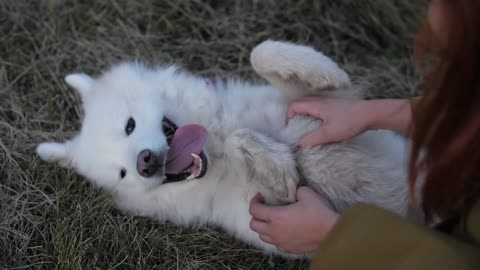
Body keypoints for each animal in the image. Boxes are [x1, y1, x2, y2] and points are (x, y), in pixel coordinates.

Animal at [36, 40, 408, 258]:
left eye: (129, 125)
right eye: (123, 173)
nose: (145, 163)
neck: (215, 141)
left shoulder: (319, 106)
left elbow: (261, 53)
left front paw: (326, 70)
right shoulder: (274, 206)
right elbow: (256, 152)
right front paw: (278, 163)